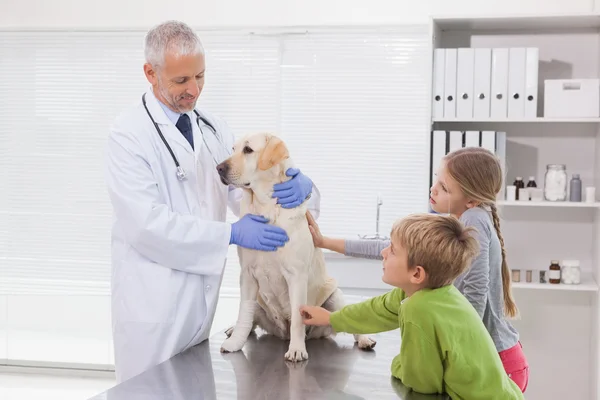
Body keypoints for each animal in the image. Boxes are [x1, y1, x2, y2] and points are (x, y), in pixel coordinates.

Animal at [216, 133, 376, 360]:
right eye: (233, 149)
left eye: (248, 150)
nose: (219, 168)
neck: (266, 207)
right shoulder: (247, 275)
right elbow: (243, 313)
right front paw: (235, 342)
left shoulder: (296, 275)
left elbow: (298, 317)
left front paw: (297, 349)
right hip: (259, 300)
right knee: (251, 318)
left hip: (335, 296)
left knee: (347, 320)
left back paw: (364, 340)